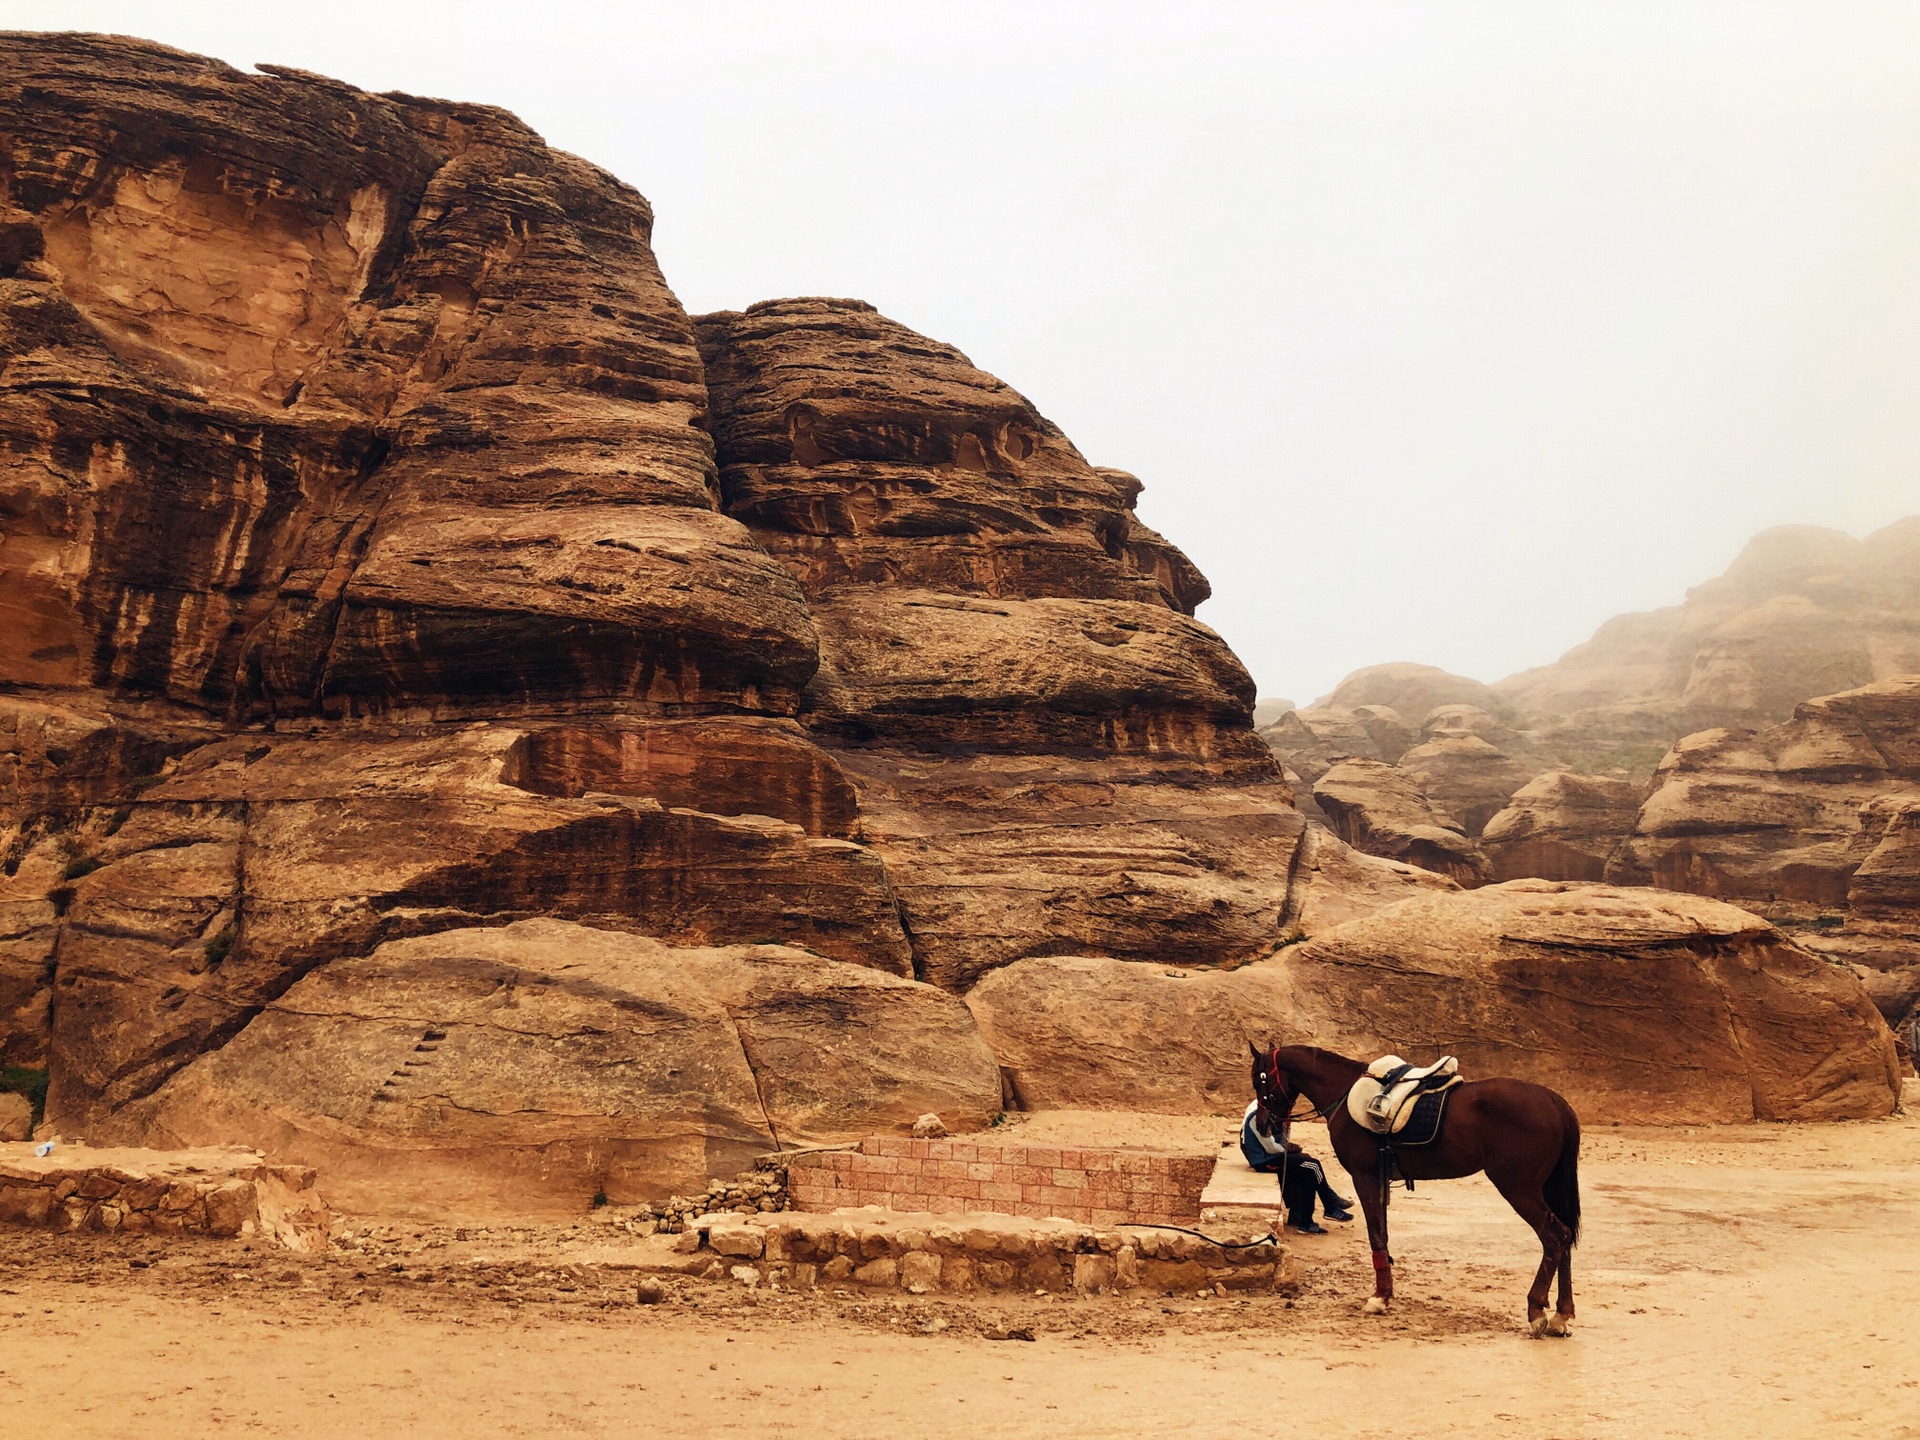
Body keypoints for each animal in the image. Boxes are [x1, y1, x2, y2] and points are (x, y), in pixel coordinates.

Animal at [1251, 1052, 1582, 1344]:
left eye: (1259, 1080)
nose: (1264, 1125)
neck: (1345, 1093)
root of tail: (1554, 1101)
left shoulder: (1365, 1178)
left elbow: (1376, 1236)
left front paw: (1379, 1298)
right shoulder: (1378, 1181)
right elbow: (1382, 1237)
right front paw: (1385, 1293)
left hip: (1518, 1188)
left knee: (1554, 1237)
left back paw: (1536, 1312)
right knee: (1564, 1239)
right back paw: (1561, 1316)